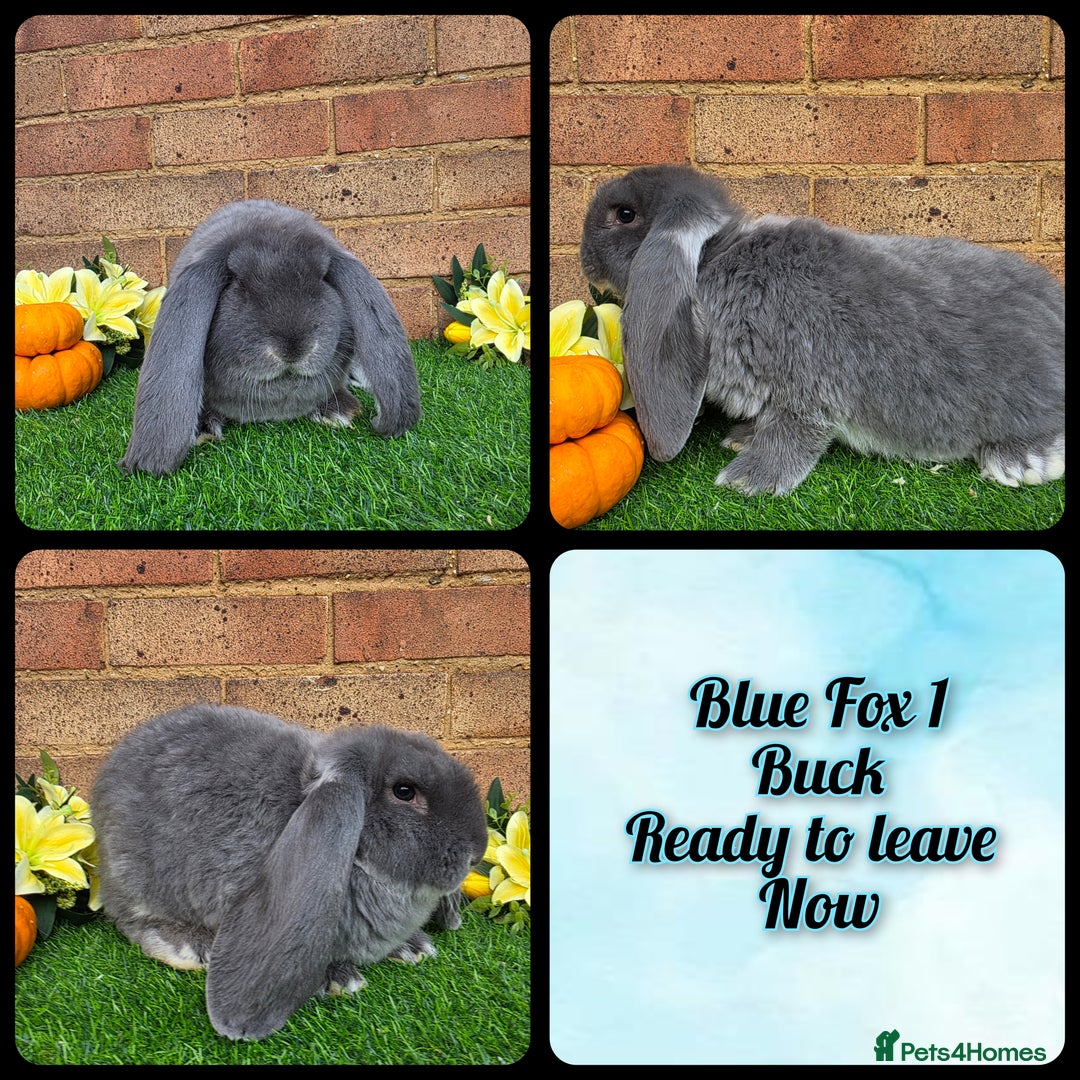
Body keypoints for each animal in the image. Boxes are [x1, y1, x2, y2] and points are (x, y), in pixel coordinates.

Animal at [91, 704, 488, 1040]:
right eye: (404, 791)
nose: (477, 851)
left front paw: (413, 947)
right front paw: (340, 980)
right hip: (137, 880)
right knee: (132, 920)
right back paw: (193, 947)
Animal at [580, 164, 1064, 496]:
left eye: (625, 214)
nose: (584, 260)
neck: (716, 262)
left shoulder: (804, 388)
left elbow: (793, 434)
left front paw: (745, 480)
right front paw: (739, 441)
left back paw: (1018, 464)